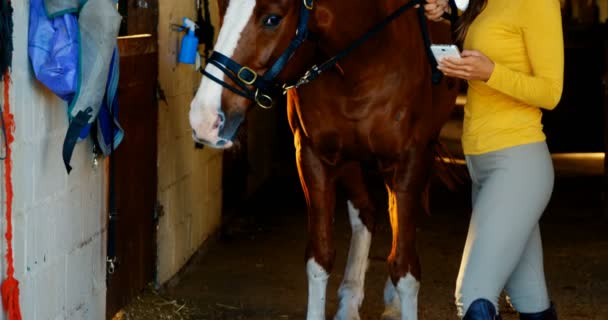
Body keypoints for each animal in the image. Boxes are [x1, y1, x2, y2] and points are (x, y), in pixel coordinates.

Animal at [188, 0, 458, 318]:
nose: (203, 119)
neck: (365, 61)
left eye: (272, 19)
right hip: (350, 159)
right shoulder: (312, 157)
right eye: (223, 7)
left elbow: (404, 268)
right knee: (367, 212)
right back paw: (349, 301)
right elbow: (320, 257)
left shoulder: (409, 160)